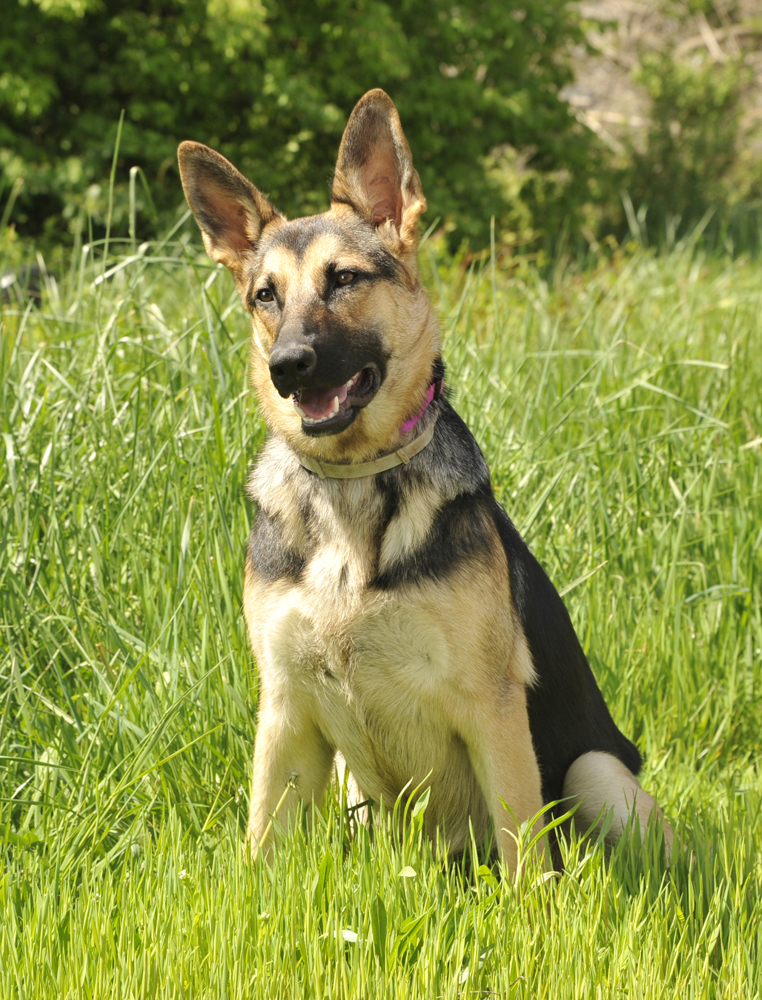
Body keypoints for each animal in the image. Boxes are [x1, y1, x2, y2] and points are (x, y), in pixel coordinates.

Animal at [180, 88, 672, 876]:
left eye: (344, 279)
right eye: (265, 296)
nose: (288, 365)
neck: (352, 483)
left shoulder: (492, 708)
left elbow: (525, 854)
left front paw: (535, 906)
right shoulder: (285, 710)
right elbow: (263, 838)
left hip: (594, 773)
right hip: (351, 786)